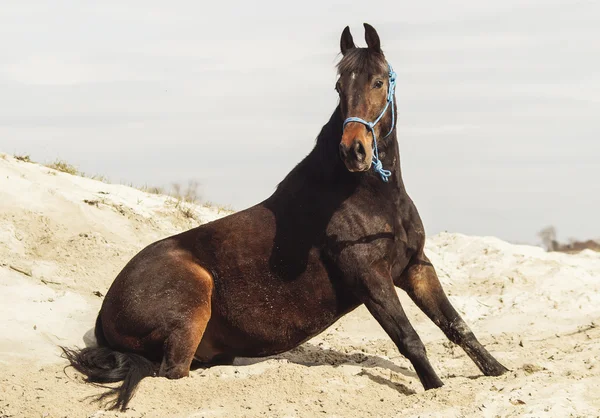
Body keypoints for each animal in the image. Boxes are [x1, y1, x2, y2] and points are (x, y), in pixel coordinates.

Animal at [64, 22, 506, 408]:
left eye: (379, 82)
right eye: (339, 86)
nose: (354, 150)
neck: (367, 196)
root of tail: (107, 308)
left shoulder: (415, 266)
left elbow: (457, 326)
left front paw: (499, 372)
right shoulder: (369, 277)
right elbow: (410, 338)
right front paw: (436, 389)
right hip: (190, 311)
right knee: (172, 373)